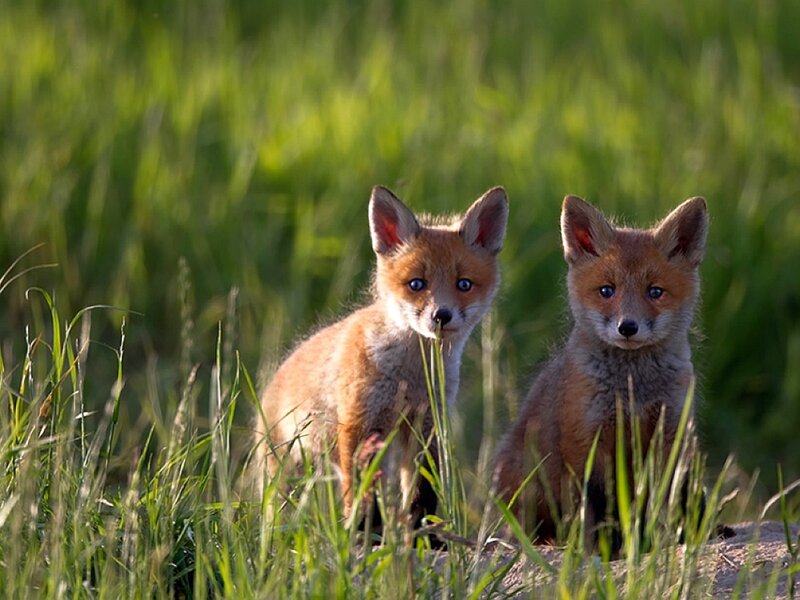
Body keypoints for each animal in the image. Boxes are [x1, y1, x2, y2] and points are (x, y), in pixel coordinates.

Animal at [257, 185, 508, 530]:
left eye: (464, 284)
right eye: (416, 284)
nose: (441, 316)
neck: (408, 377)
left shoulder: (425, 428)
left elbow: (422, 494)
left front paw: (424, 535)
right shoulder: (359, 425)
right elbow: (362, 495)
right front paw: (362, 531)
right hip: (286, 472)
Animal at [493, 194, 708, 546]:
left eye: (655, 292)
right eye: (607, 290)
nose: (628, 327)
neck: (633, 389)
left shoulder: (673, 430)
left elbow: (678, 495)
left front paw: (684, 538)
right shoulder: (588, 442)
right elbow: (599, 506)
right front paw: (607, 548)